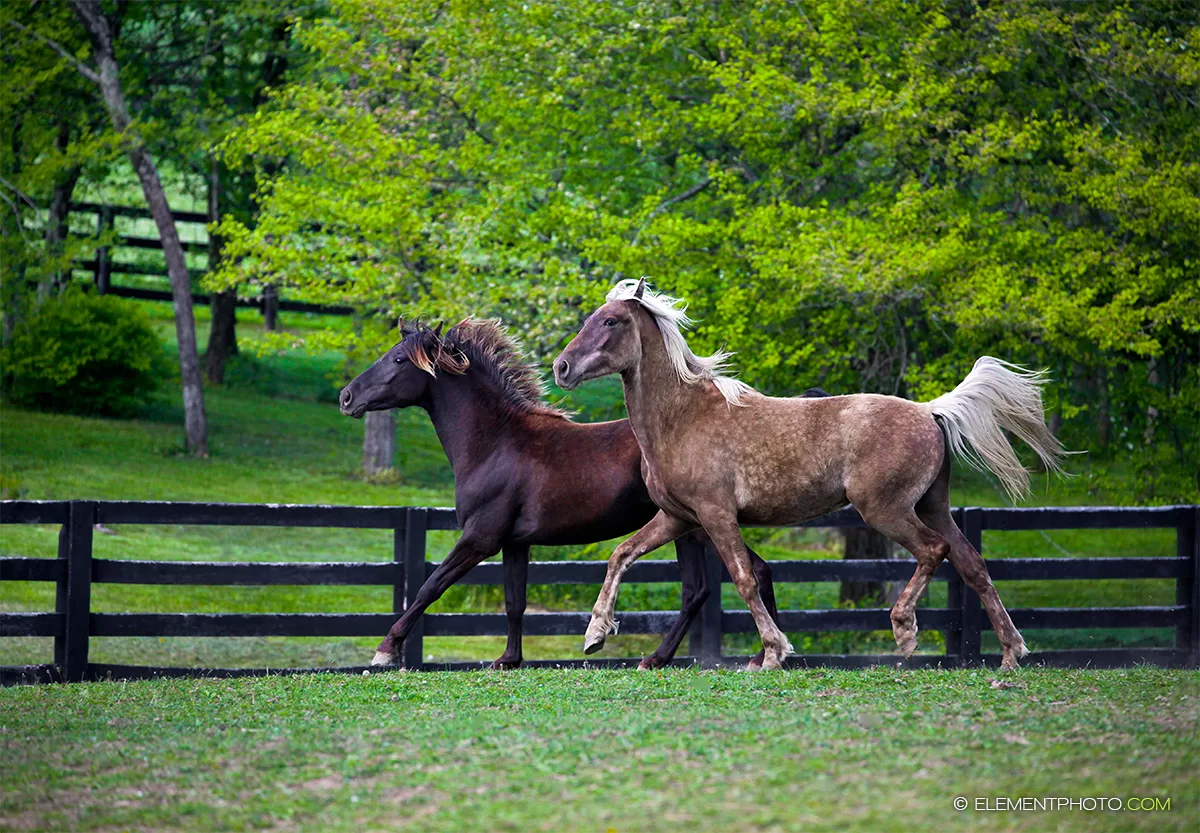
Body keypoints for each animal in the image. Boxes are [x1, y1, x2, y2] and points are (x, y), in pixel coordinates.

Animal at [338, 319, 820, 672]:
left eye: (398, 358)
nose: (346, 397)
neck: (496, 443)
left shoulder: (480, 538)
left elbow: (429, 587)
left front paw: (385, 651)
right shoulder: (515, 543)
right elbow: (514, 602)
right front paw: (508, 659)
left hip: (700, 526)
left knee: (722, 582)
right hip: (689, 528)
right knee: (723, 581)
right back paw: (745, 655)